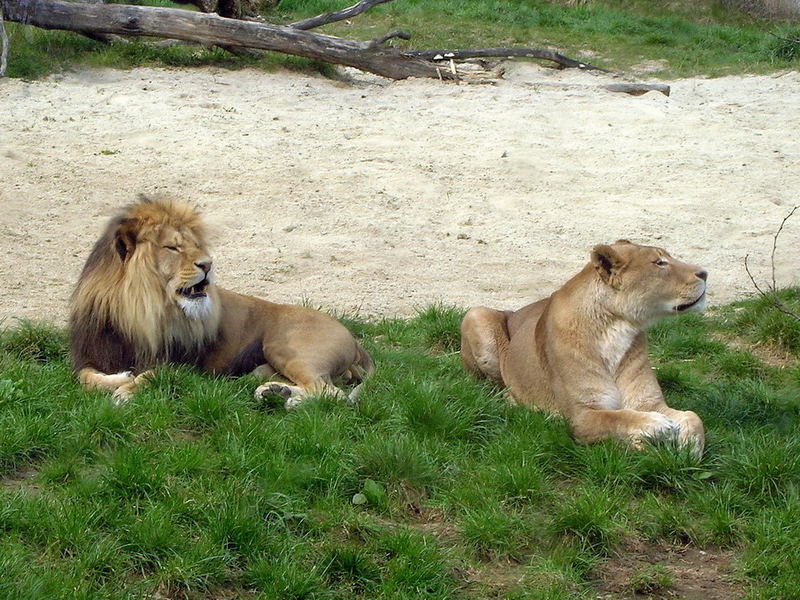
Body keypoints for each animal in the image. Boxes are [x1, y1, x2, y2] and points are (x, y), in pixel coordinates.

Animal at [69, 199, 372, 406]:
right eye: (173, 247)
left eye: (196, 246)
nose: (208, 264)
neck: (135, 312)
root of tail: (355, 341)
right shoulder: (90, 354)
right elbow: (83, 377)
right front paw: (120, 378)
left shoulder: (183, 366)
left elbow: (150, 375)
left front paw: (126, 389)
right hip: (260, 370)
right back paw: (276, 391)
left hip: (283, 346)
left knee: (333, 393)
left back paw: (292, 401)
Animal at [462, 239, 708, 450]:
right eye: (659, 262)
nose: (705, 273)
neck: (616, 329)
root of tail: (512, 311)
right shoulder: (581, 417)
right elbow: (617, 417)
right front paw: (654, 427)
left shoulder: (650, 402)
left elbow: (693, 416)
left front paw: (690, 447)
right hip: (476, 314)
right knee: (492, 387)